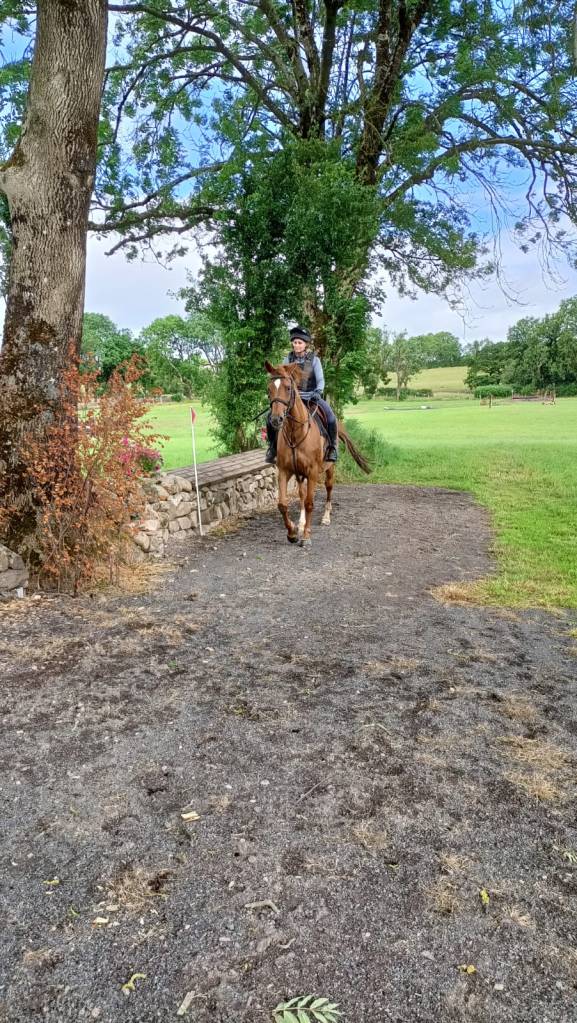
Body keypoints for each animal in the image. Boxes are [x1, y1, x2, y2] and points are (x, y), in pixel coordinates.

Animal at [264, 360, 370, 547]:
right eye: (269, 389)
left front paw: (306, 536)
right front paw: (293, 532)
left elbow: (309, 503)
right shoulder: (285, 471)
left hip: (329, 469)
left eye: (288, 388)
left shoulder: (313, 472)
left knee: (328, 489)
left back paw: (326, 517)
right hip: (300, 474)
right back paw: (300, 522)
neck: (296, 432)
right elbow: (283, 504)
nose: (276, 419)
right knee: (301, 493)